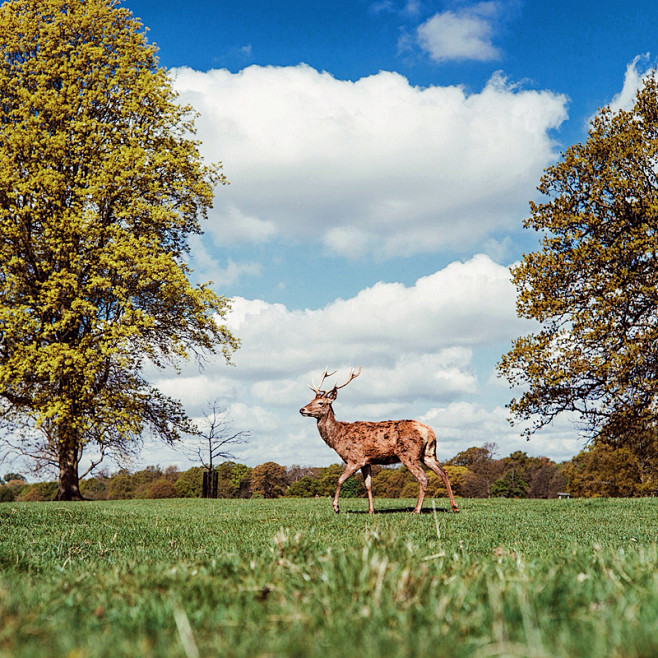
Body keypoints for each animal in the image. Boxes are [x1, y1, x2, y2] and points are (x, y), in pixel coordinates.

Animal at [298, 364, 456, 512]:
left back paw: (416, 510)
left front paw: (336, 507)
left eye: (321, 403)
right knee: (443, 472)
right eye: (311, 399)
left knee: (423, 477)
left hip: (409, 454)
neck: (338, 438)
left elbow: (340, 479)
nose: (302, 409)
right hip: (428, 454)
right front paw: (371, 510)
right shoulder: (366, 462)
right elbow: (368, 485)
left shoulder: (355, 459)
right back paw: (454, 506)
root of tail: (429, 431)